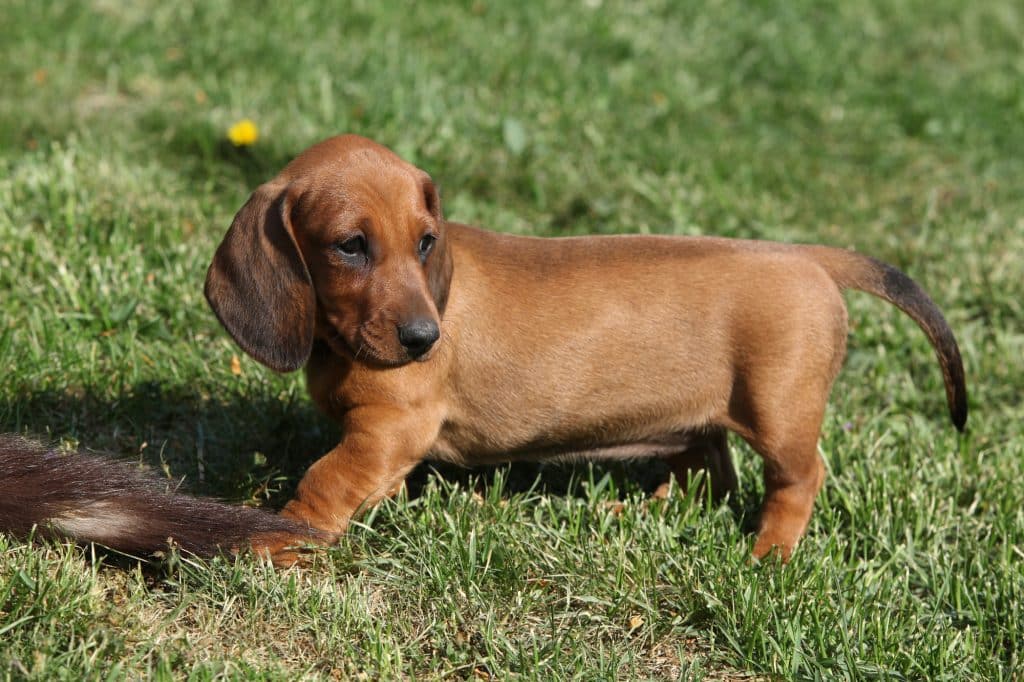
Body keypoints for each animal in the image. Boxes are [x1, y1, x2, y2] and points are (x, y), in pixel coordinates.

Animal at [201, 133, 966, 561]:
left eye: (425, 242)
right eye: (350, 247)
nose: (424, 340)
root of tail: (807, 257)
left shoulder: (391, 428)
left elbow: (325, 479)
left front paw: (283, 538)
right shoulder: (383, 445)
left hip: (780, 413)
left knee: (797, 481)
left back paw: (768, 557)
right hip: (696, 423)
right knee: (709, 477)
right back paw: (637, 514)